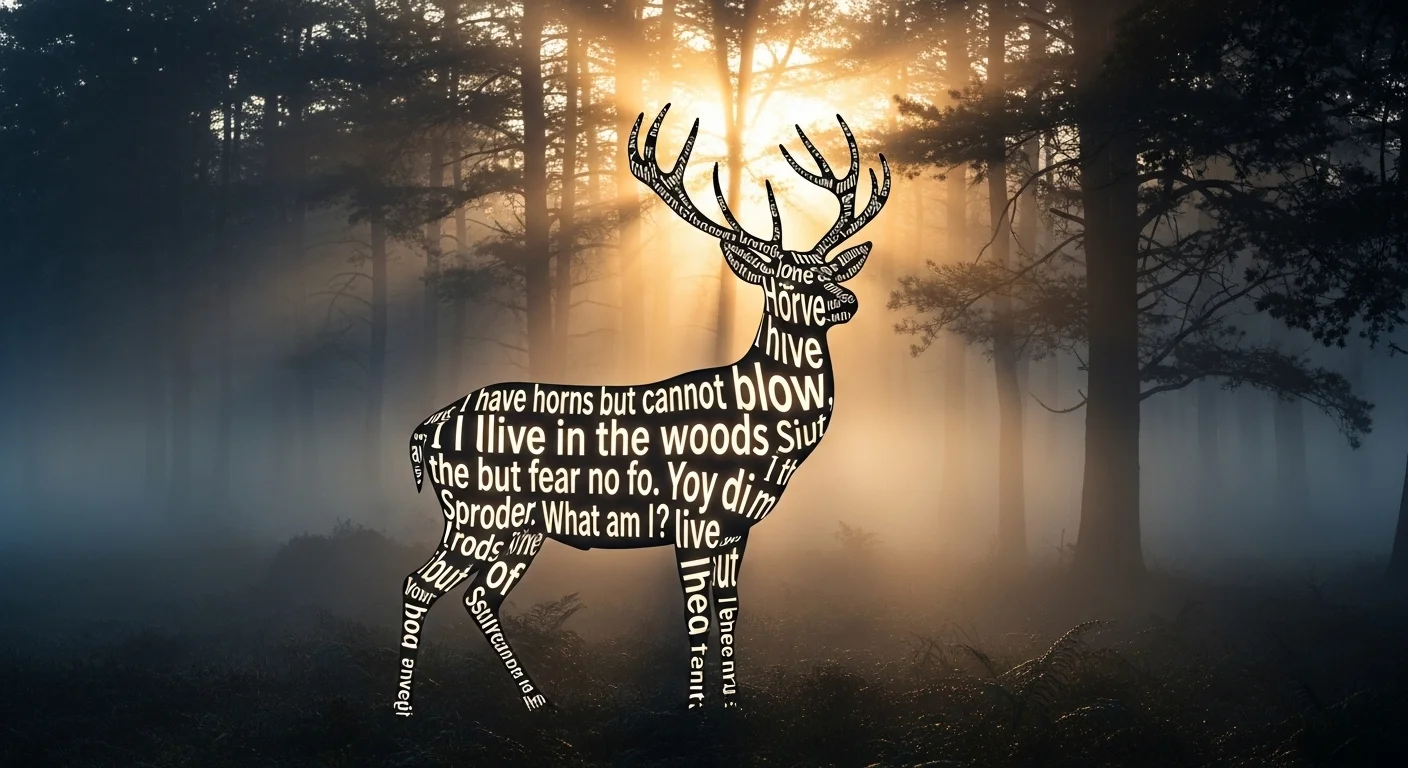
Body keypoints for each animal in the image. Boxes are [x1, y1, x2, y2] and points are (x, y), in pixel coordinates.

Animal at [393, 104, 890, 716]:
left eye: (830, 270)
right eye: (787, 279)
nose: (848, 299)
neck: (762, 439)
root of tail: (425, 429)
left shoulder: (735, 529)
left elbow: (730, 611)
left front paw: (732, 704)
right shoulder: (693, 516)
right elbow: (695, 615)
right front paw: (695, 707)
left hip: (520, 527)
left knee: (479, 597)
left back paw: (538, 700)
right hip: (474, 510)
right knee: (419, 585)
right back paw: (403, 708)